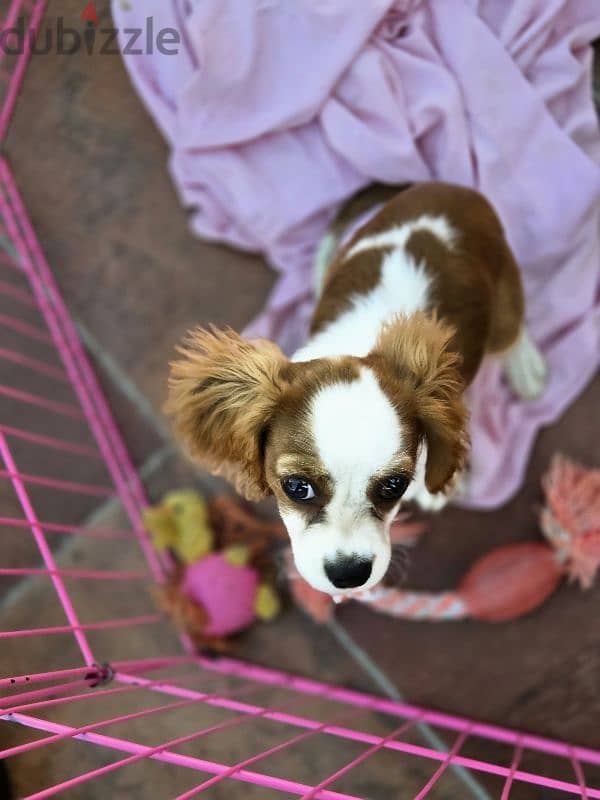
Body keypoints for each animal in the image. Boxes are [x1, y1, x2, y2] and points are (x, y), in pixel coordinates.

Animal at [166, 181, 548, 592]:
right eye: (297, 487)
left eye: (394, 485)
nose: (348, 575)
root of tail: (448, 187)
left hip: (505, 287)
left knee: (511, 330)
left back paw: (524, 365)